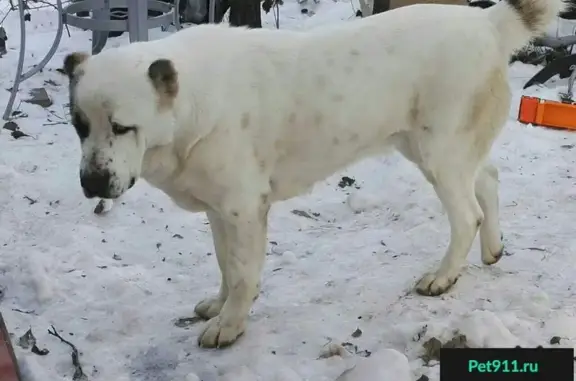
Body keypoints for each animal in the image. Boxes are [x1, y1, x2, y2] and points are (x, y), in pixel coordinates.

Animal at [62, 0, 564, 348]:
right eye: (79, 125)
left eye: (122, 127)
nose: (91, 184)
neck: (192, 105)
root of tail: (486, 21)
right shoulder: (220, 210)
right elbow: (226, 264)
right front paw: (219, 307)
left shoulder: (243, 209)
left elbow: (242, 273)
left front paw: (230, 325)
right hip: (436, 150)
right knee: (488, 179)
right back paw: (493, 250)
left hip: (438, 152)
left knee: (467, 215)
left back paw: (443, 277)